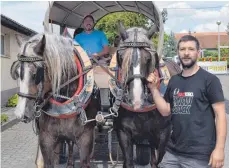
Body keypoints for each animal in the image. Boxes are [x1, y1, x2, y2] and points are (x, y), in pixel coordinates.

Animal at [113, 22, 182, 168]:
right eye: (121, 57)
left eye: (148, 58)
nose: (136, 99)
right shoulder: (123, 132)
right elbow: (128, 161)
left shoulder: (164, 132)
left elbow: (157, 160)